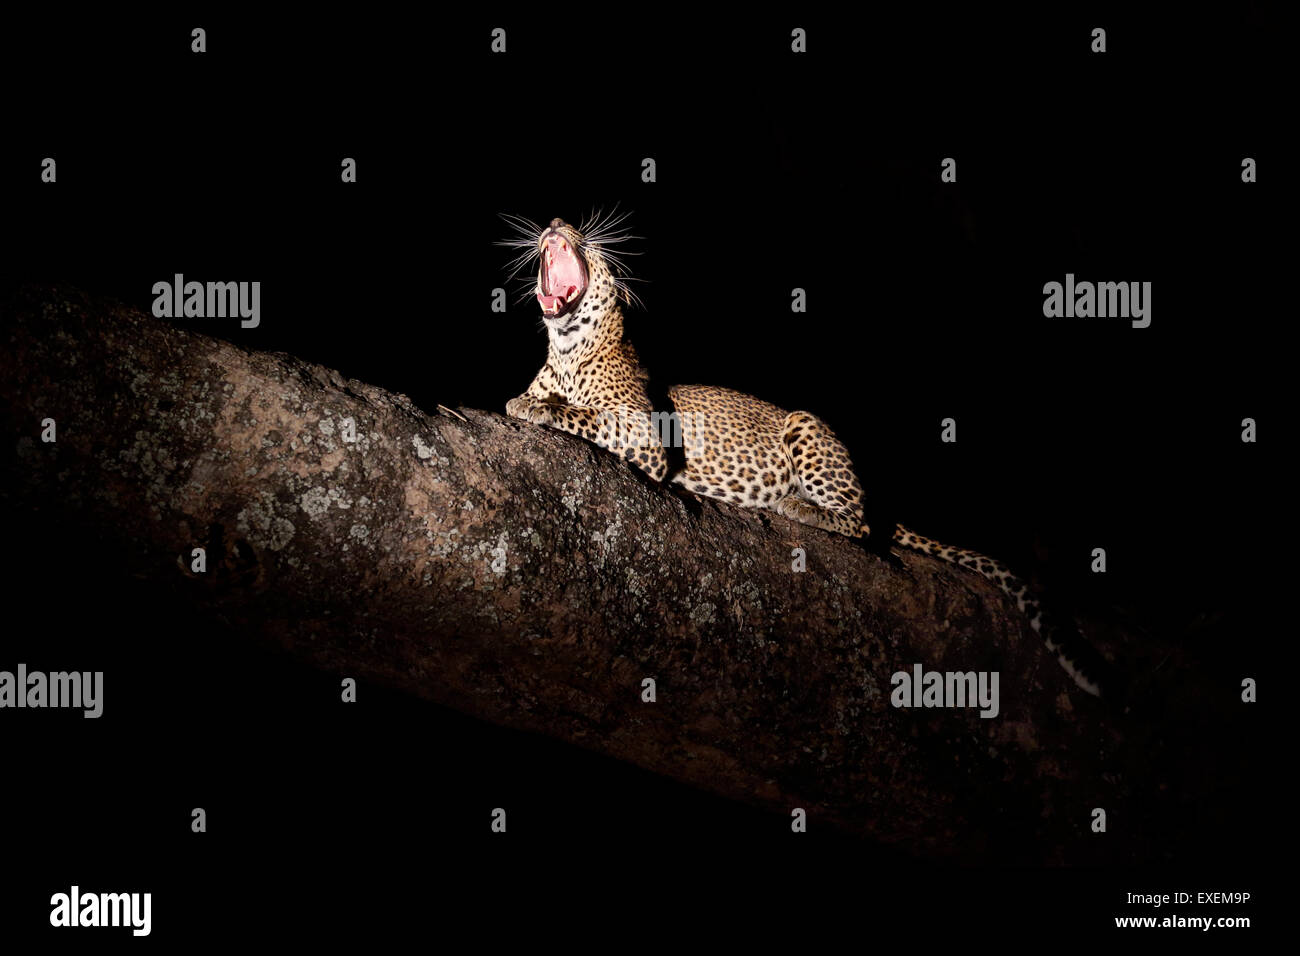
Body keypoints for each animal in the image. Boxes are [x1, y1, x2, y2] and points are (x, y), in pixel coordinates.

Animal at [500, 212, 1111, 698]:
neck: (566, 351)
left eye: (592, 242)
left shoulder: (645, 435)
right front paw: (527, 398)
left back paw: (800, 507)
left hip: (807, 427)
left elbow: (582, 414)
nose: (558, 221)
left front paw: (534, 406)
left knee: (860, 522)